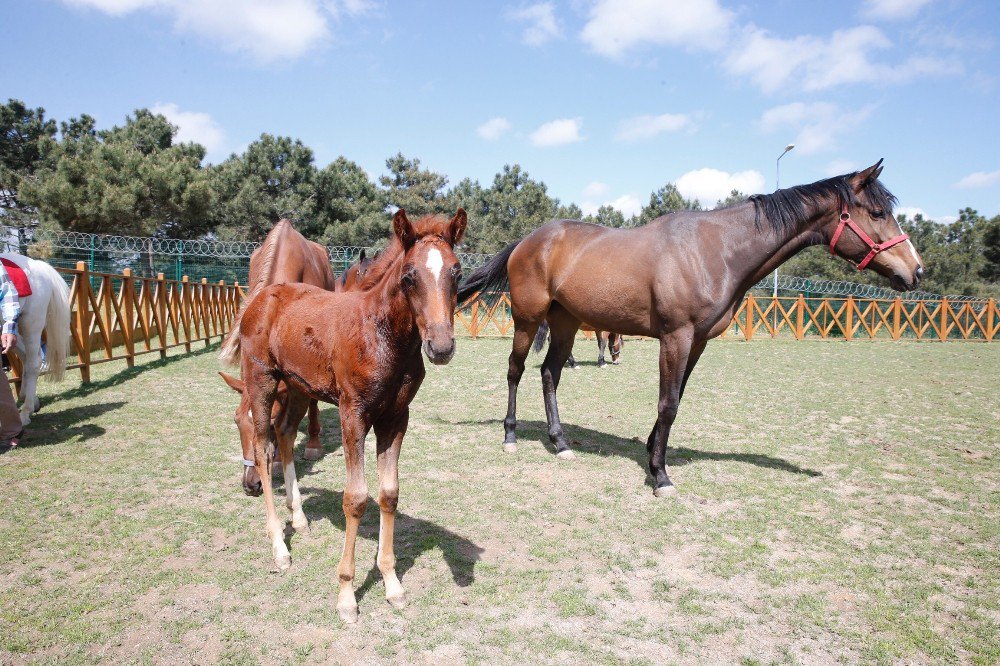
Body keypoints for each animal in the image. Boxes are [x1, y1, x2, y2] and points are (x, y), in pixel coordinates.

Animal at [0, 252, 71, 422]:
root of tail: (38, 265)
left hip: (30, 324)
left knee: (33, 362)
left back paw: (26, 411)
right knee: (27, 357)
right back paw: (30, 400)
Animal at [458, 160, 920, 492]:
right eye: (877, 212)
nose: (915, 271)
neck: (717, 250)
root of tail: (527, 241)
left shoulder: (697, 343)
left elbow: (676, 399)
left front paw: (652, 453)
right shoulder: (675, 338)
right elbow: (668, 403)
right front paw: (660, 475)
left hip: (566, 323)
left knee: (550, 373)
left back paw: (561, 442)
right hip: (528, 319)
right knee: (516, 370)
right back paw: (511, 435)